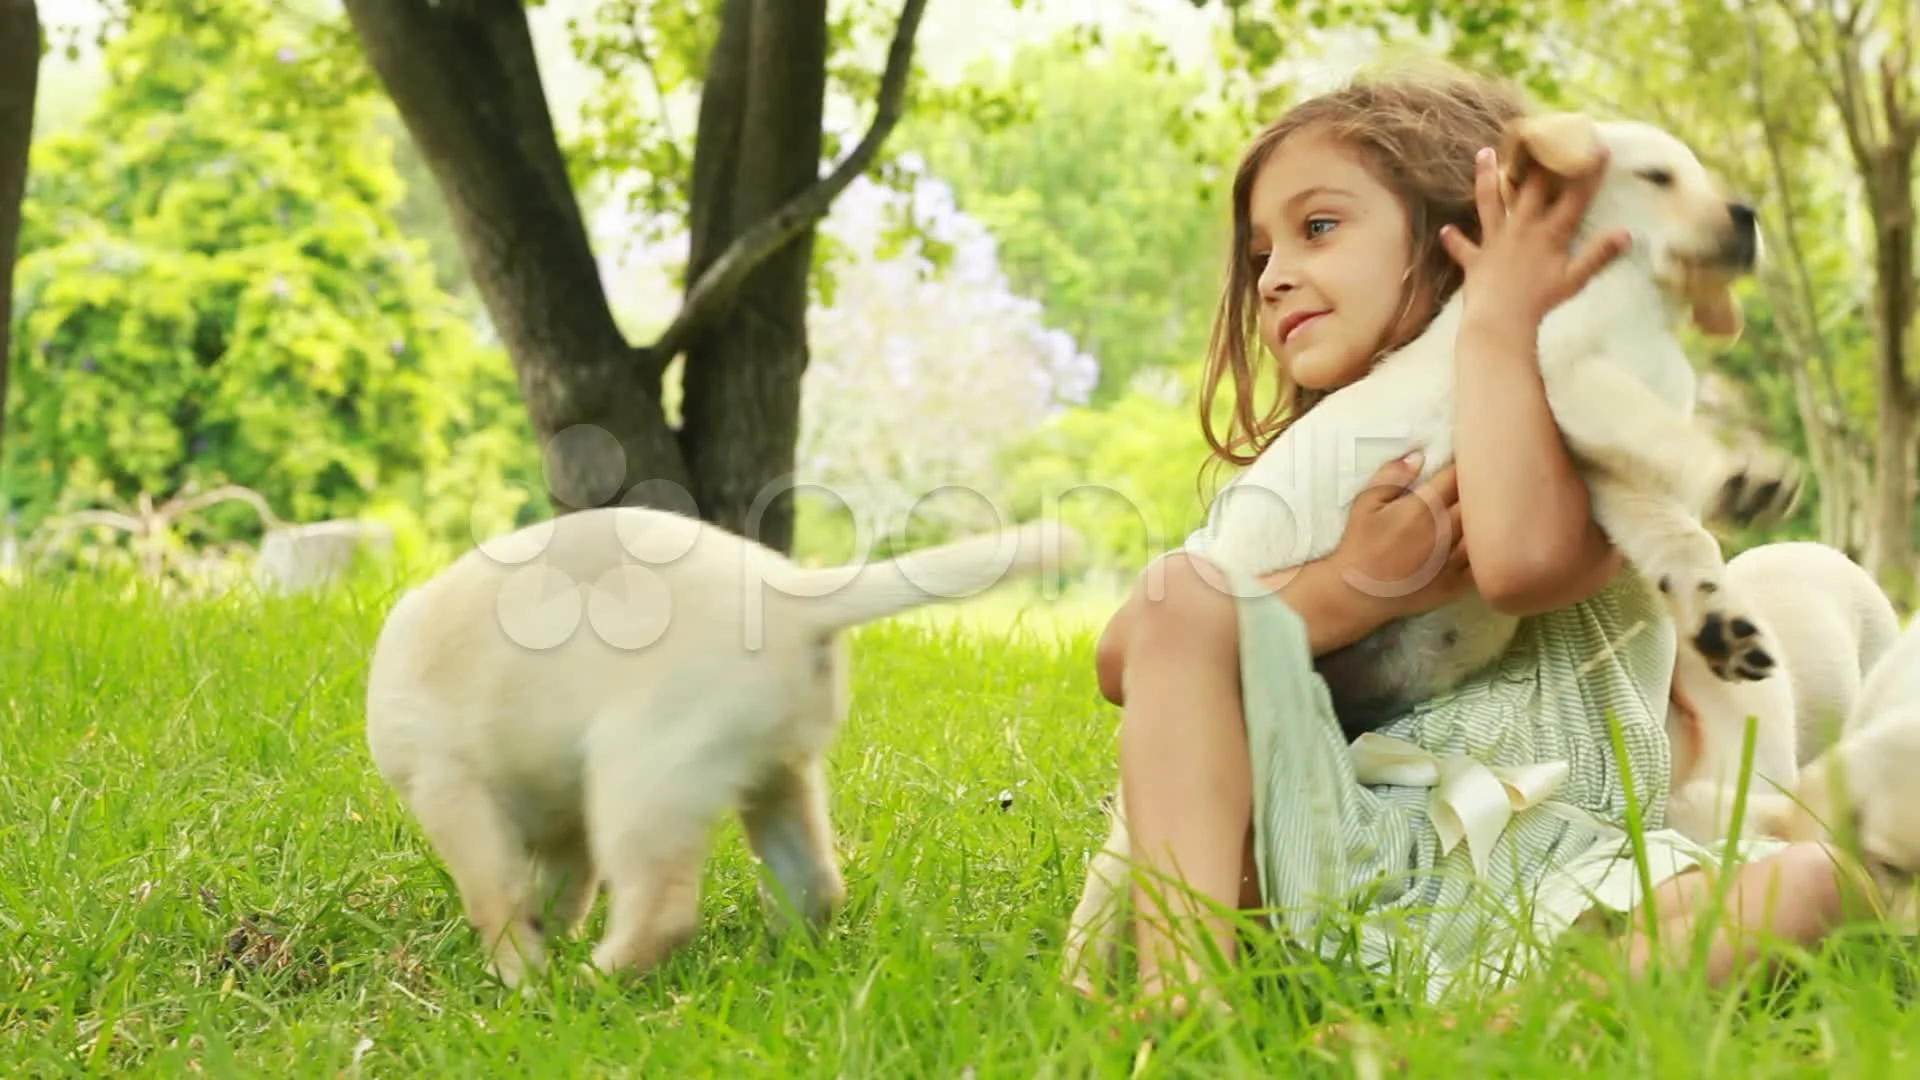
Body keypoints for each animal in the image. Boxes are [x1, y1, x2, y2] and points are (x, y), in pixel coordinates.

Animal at [360, 503, 1082, 983]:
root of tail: (795, 594)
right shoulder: (565, 830)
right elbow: (555, 895)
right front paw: (544, 947)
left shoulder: (451, 791)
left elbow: (498, 902)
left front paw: (523, 982)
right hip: (776, 778)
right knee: (815, 887)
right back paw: (782, 966)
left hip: (640, 780)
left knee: (663, 911)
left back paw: (592, 985)